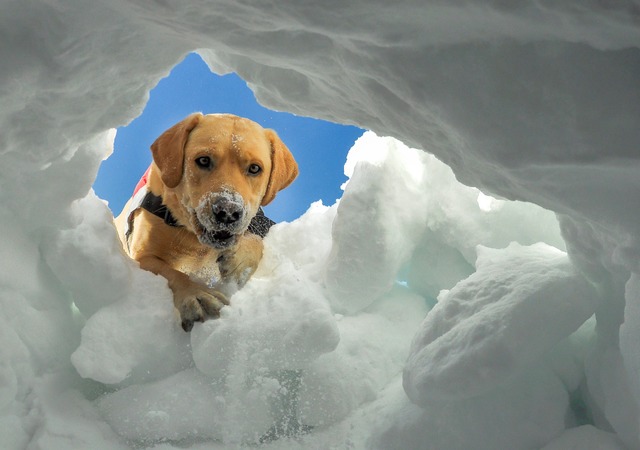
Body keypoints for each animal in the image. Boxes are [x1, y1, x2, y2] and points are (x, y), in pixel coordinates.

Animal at [115, 112, 300, 330]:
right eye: (203, 160)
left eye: (255, 168)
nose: (227, 211)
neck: (193, 239)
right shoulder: (142, 256)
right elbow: (173, 273)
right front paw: (196, 294)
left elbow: (256, 240)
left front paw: (240, 259)